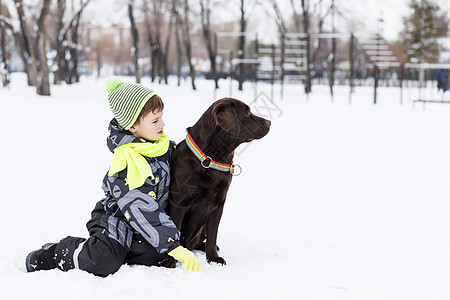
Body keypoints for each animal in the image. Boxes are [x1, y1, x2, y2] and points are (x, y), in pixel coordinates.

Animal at [166, 97, 268, 264]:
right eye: (247, 112)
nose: (269, 122)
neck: (212, 158)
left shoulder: (218, 204)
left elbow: (213, 234)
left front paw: (213, 257)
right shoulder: (178, 203)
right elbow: (174, 232)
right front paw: (169, 261)